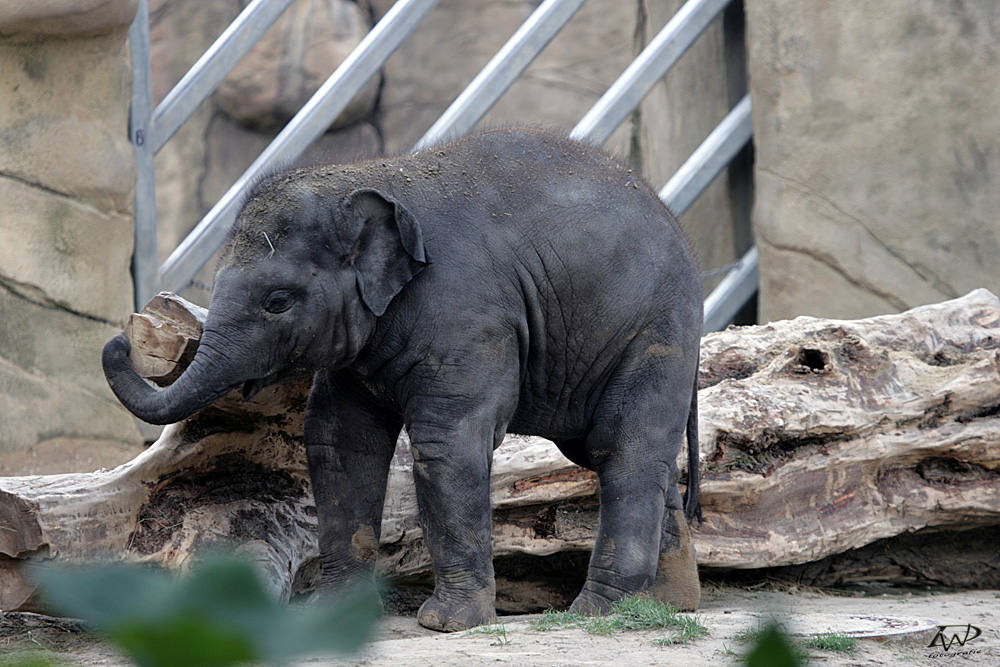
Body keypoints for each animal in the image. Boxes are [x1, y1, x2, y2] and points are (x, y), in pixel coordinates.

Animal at [103, 129, 704, 632]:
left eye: (277, 301)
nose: (120, 339)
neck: (369, 173)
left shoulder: (466, 315)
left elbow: (446, 443)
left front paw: (446, 624)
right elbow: (339, 442)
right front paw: (333, 618)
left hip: (655, 330)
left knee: (620, 450)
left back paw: (598, 612)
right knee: (619, 452)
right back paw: (667, 605)